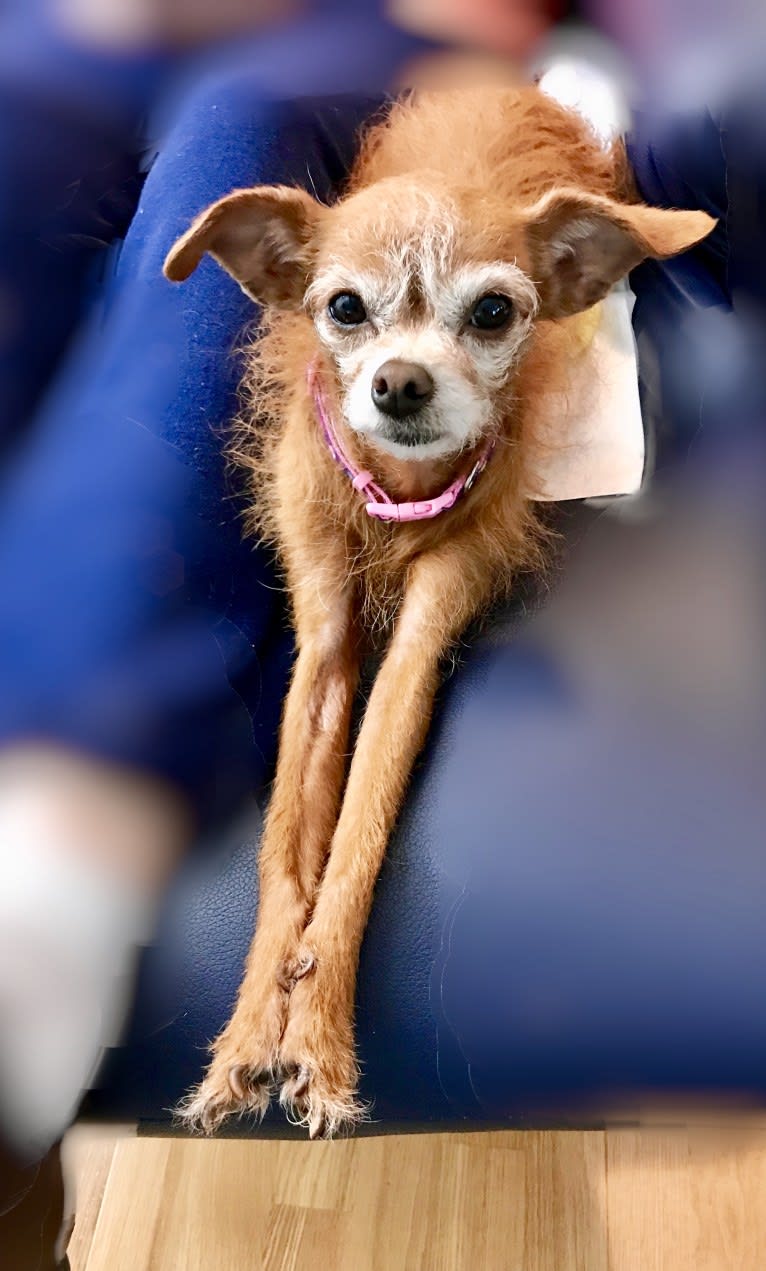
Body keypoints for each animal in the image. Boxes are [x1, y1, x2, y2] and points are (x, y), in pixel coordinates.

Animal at [165, 84, 716, 1138]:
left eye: (494, 311)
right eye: (344, 307)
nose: (400, 383)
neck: (397, 490)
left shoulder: (417, 650)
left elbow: (357, 838)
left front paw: (318, 1041)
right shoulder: (321, 652)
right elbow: (283, 856)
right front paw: (250, 1032)